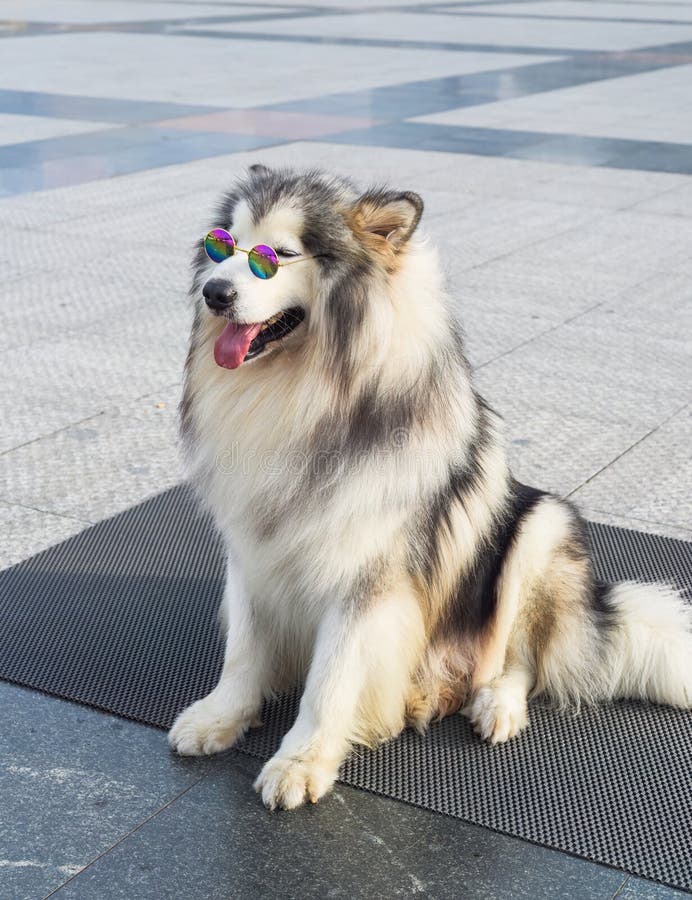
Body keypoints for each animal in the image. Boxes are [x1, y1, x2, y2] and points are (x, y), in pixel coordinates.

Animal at [166, 165, 692, 812]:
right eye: (223, 245)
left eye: (278, 256)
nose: (214, 292)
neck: (303, 392)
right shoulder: (251, 547)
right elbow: (242, 649)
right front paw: (220, 716)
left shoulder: (367, 577)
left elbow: (331, 680)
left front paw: (302, 761)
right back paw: (423, 696)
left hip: (539, 530)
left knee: (519, 658)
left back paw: (493, 703)